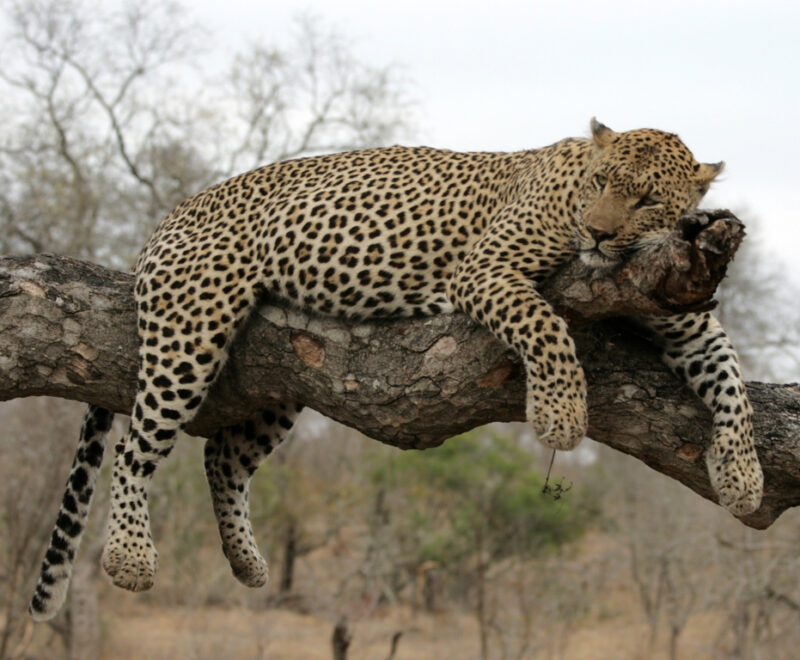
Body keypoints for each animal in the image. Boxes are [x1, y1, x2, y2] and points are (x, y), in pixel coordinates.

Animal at [29, 119, 763, 620]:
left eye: (646, 201)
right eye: (601, 184)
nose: (599, 234)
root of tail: (165, 218)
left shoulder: (679, 303)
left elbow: (732, 383)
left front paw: (744, 479)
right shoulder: (486, 268)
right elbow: (547, 325)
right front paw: (559, 413)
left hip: (282, 376)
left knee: (221, 459)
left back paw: (248, 564)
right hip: (192, 327)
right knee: (134, 446)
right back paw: (129, 558)